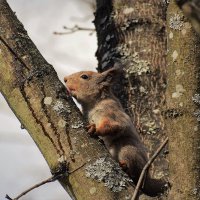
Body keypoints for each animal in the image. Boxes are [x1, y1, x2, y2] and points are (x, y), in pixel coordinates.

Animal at [64, 65, 167, 196]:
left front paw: (94, 128)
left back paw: (125, 167)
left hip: (128, 150)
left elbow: (114, 126)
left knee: (135, 172)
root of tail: (147, 178)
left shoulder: (112, 112)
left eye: (85, 76)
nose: (65, 79)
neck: (94, 103)